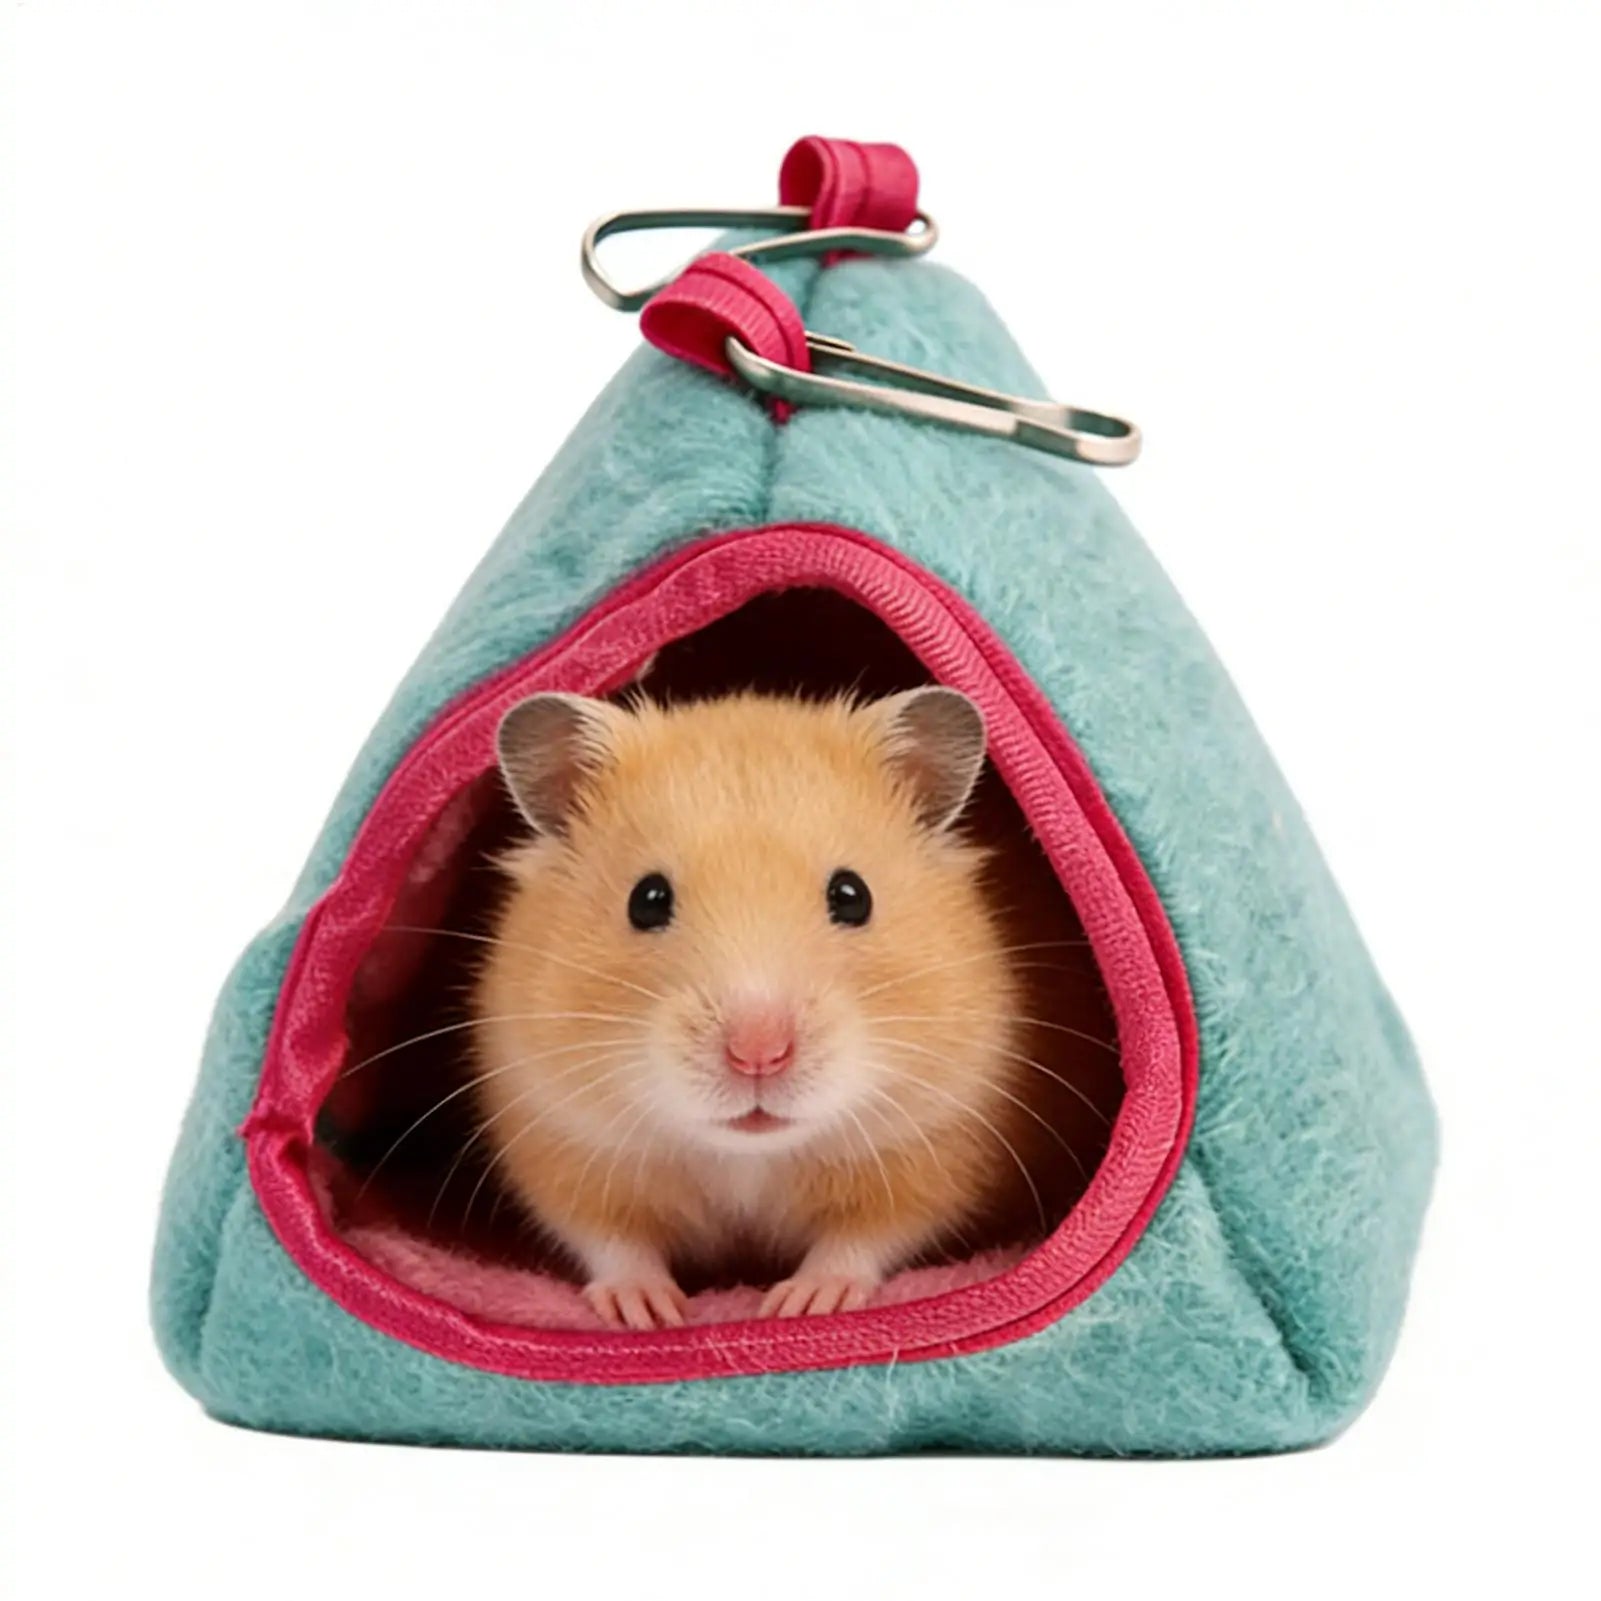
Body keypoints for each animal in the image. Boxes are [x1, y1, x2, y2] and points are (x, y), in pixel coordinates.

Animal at [470, 686, 1028, 1330]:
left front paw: (801, 1304)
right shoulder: (556, 1134)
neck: (748, 1157)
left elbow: (866, 1235)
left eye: (852, 895)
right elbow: (611, 1240)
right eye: (647, 899)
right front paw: (651, 1312)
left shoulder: (939, 1143)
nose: (758, 1053)